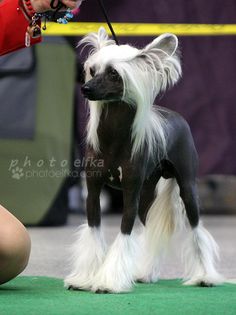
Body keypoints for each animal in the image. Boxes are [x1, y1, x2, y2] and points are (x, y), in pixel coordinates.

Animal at [64, 27, 223, 294]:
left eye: (114, 73)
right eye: (92, 70)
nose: (85, 88)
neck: (114, 139)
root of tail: (175, 115)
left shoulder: (131, 192)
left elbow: (124, 232)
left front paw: (108, 281)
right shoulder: (93, 192)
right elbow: (94, 230)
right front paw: (85, 278)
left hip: (187, 187)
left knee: (196, 229)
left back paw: (204, 276)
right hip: (148, 192)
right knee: (149, 230)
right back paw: (146, 273)